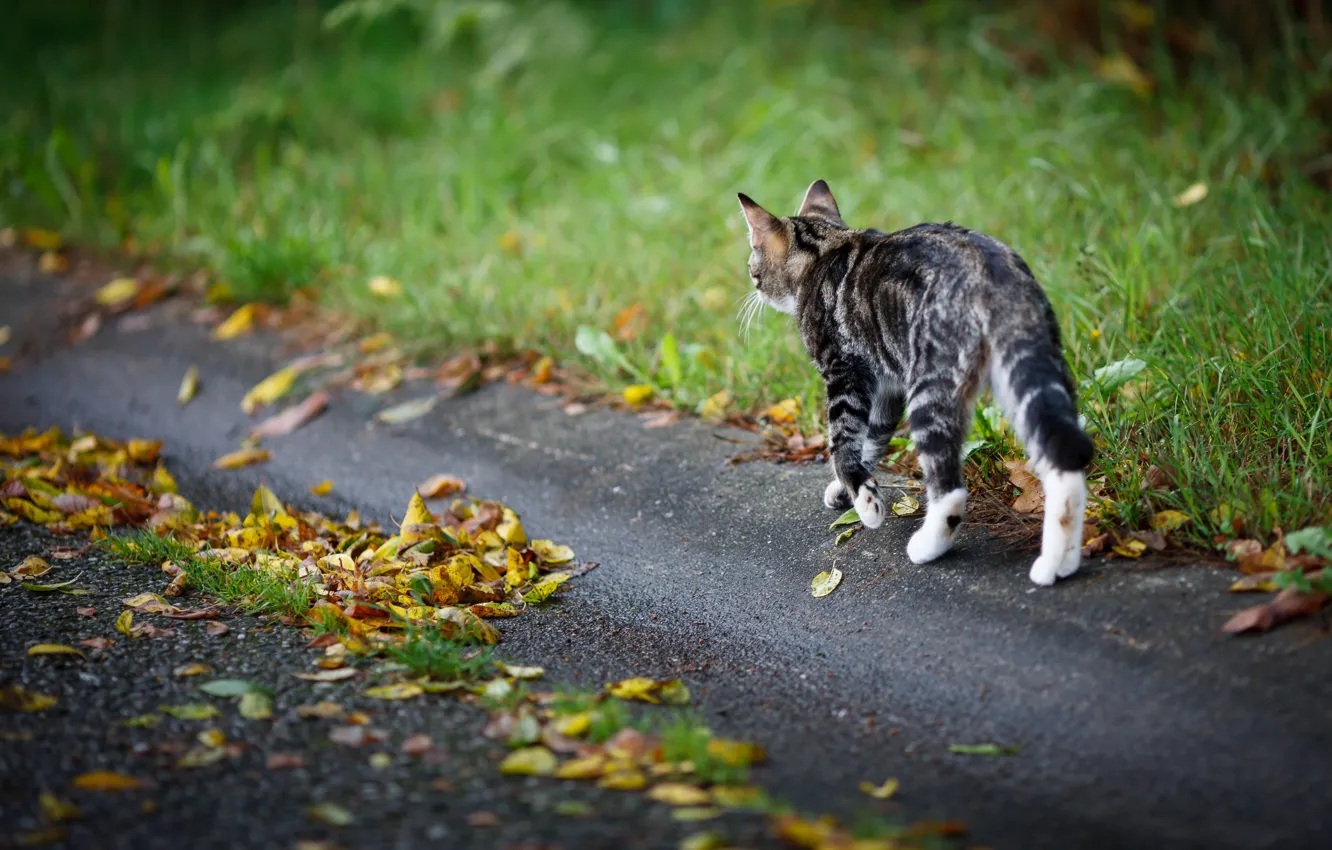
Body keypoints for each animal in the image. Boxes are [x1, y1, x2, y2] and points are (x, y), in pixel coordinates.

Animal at [740, 179, 1092, 586]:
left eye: (752, 264)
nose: (753, 283)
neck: (824, 252)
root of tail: (990, 270)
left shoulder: (846, 373)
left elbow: (843, 441)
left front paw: (866, 503)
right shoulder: (887, 385)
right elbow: (871, 439)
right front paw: (849, 492)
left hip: (930, 390)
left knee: (950, 489)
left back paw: (928, 545)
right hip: (1028, 375)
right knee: (1061, 463)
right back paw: (1059, 562)